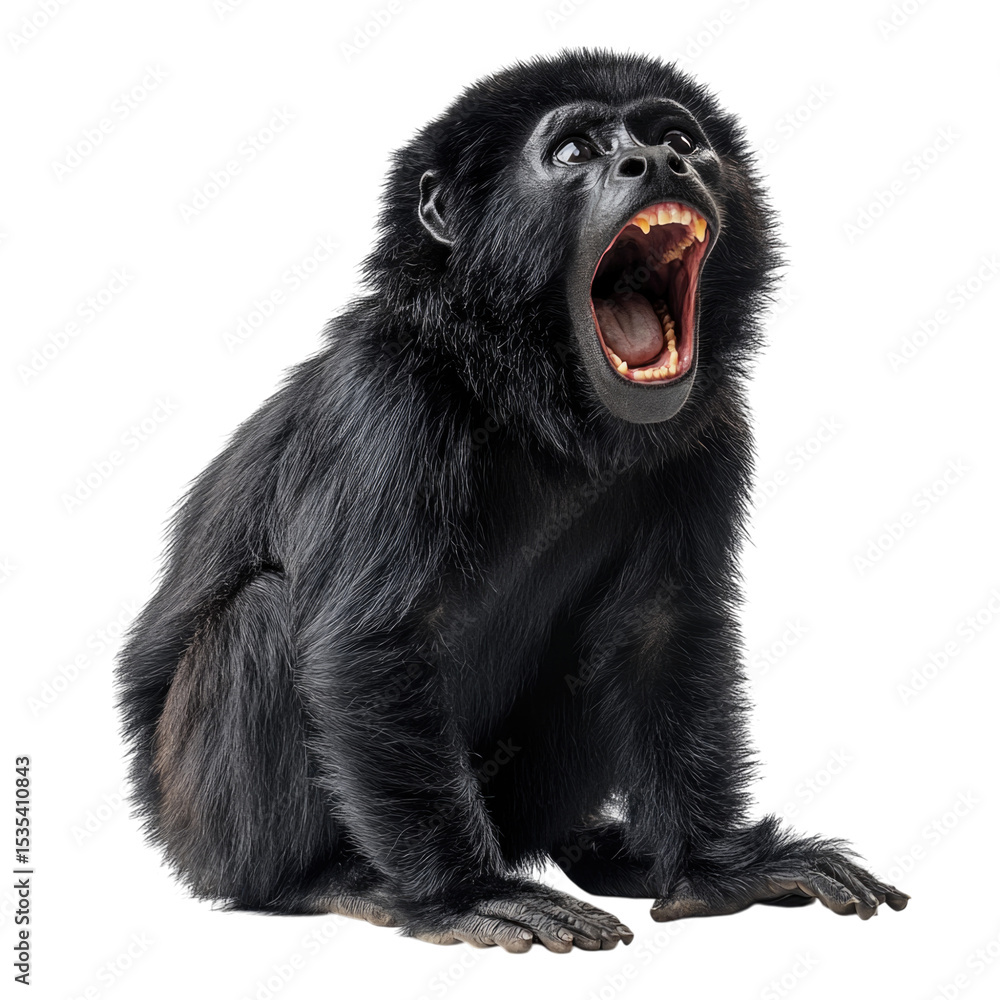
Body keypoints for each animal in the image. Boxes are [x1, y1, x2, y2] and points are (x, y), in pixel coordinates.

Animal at [116, 48, 909, 953]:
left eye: (679, 139)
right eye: (573, 153)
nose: (659, 163)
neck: (529, 400)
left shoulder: (711, 432)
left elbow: (660, 627)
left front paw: (717, 868)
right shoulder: (387, 402)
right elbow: (366, 644)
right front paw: (466, 894)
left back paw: (604, 851)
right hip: (205, 833)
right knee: (259, 620)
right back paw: (321, 881)